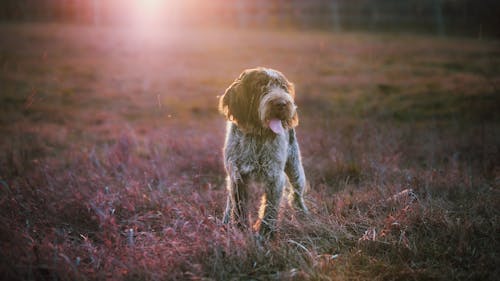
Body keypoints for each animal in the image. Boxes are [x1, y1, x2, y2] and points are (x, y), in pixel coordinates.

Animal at [220, 66, 308, 235]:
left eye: (283, 87)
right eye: (260, 86)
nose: (282, 103)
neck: (257, 135)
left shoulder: (275, 177)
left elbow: (270, 209)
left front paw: (265, 234)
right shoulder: (237, 176)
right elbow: (239, 207)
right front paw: (240, 232)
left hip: (295, 168)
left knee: (296, 194)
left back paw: (304, 215)